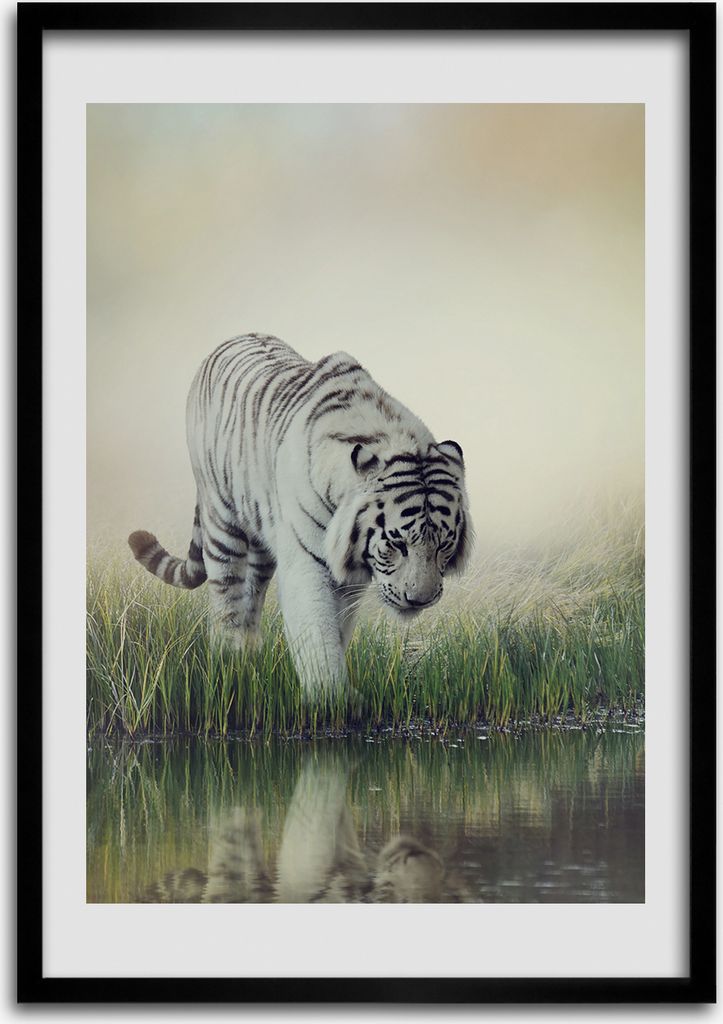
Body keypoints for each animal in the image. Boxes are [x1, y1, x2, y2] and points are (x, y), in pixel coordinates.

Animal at [129, 333, 473, 693]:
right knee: (226, 595)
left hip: (263, 540)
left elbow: (337, 628)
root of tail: (232, 339)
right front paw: (331, 696)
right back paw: (229, 657)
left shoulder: (349, 578)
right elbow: (317, 632)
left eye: (444, 545)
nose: (420, 600)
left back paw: (251, 654)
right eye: (396, 544)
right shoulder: (307, 562)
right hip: (221, 520)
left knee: (252, 594)